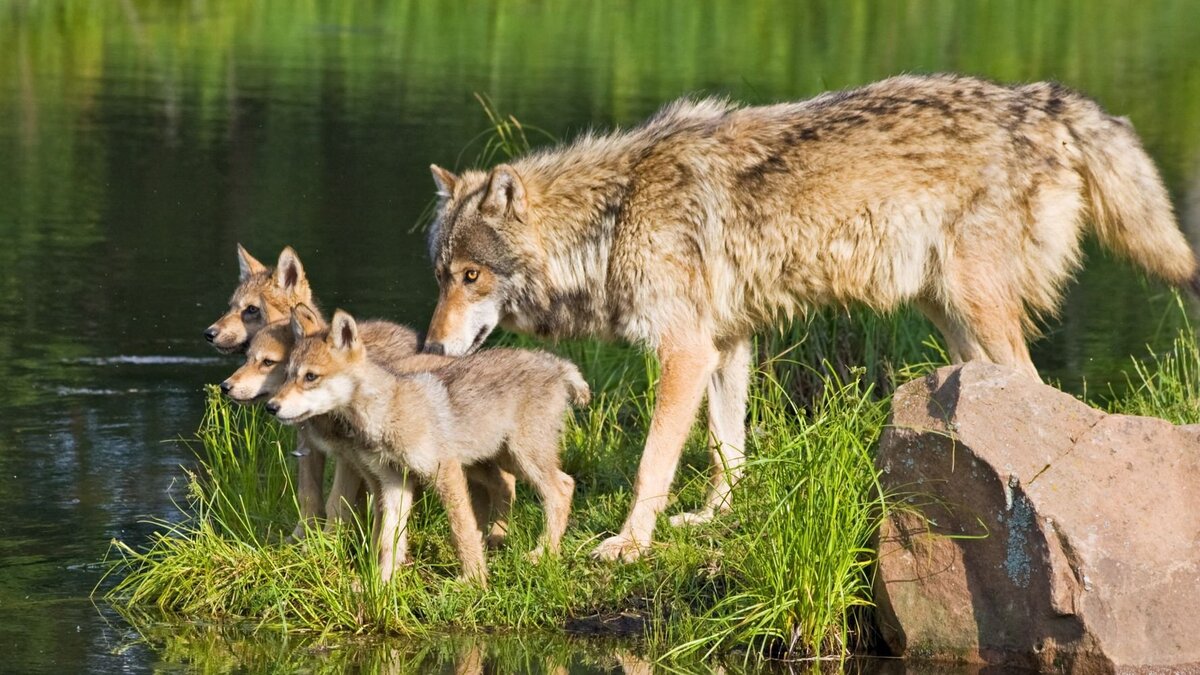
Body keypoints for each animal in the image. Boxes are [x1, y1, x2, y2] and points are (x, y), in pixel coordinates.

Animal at [422, 73, 1200, 559]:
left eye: (472, 276)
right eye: (440, 276)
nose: (429, 347)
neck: (613, 214)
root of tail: (1038, 99)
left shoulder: (683, 350)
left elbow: (652, 464)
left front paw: (629, 544)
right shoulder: (724, 347)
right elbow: (727, 447)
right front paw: (715, 516)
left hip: (976, 307)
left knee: (1035, 387)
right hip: (950, 318)